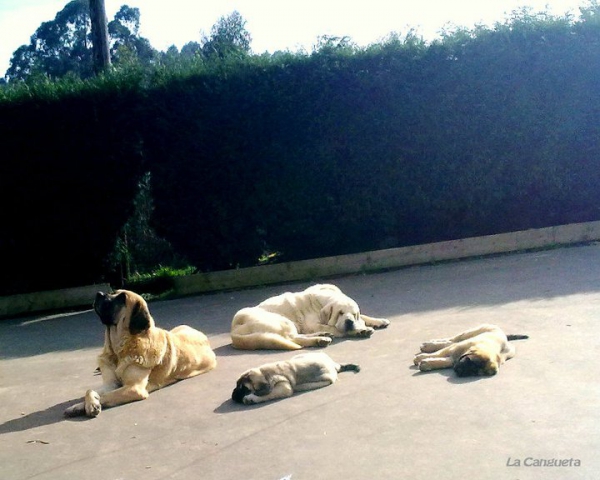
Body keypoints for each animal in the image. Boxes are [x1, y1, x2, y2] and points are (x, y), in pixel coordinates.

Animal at [63, 288, 217, 416]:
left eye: (122, 298)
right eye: (113, 292)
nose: (99, 294)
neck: (118, 350)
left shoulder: (134, 388)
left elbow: (105, 396)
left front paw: (92, 405)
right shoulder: (110, 384)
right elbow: (90, 390)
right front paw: (79, 406)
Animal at [230, 284, 390, 350]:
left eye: (354, 313)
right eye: (340, 313)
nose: (350, 321)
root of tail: (233, 330)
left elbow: (364, 317)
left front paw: (378, 321)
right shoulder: (314, 324)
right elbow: (338, 329)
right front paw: (360, 330)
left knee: (296, 337)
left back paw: (322, 336)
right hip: (283, 321)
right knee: (292, 338)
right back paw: (320, 339)